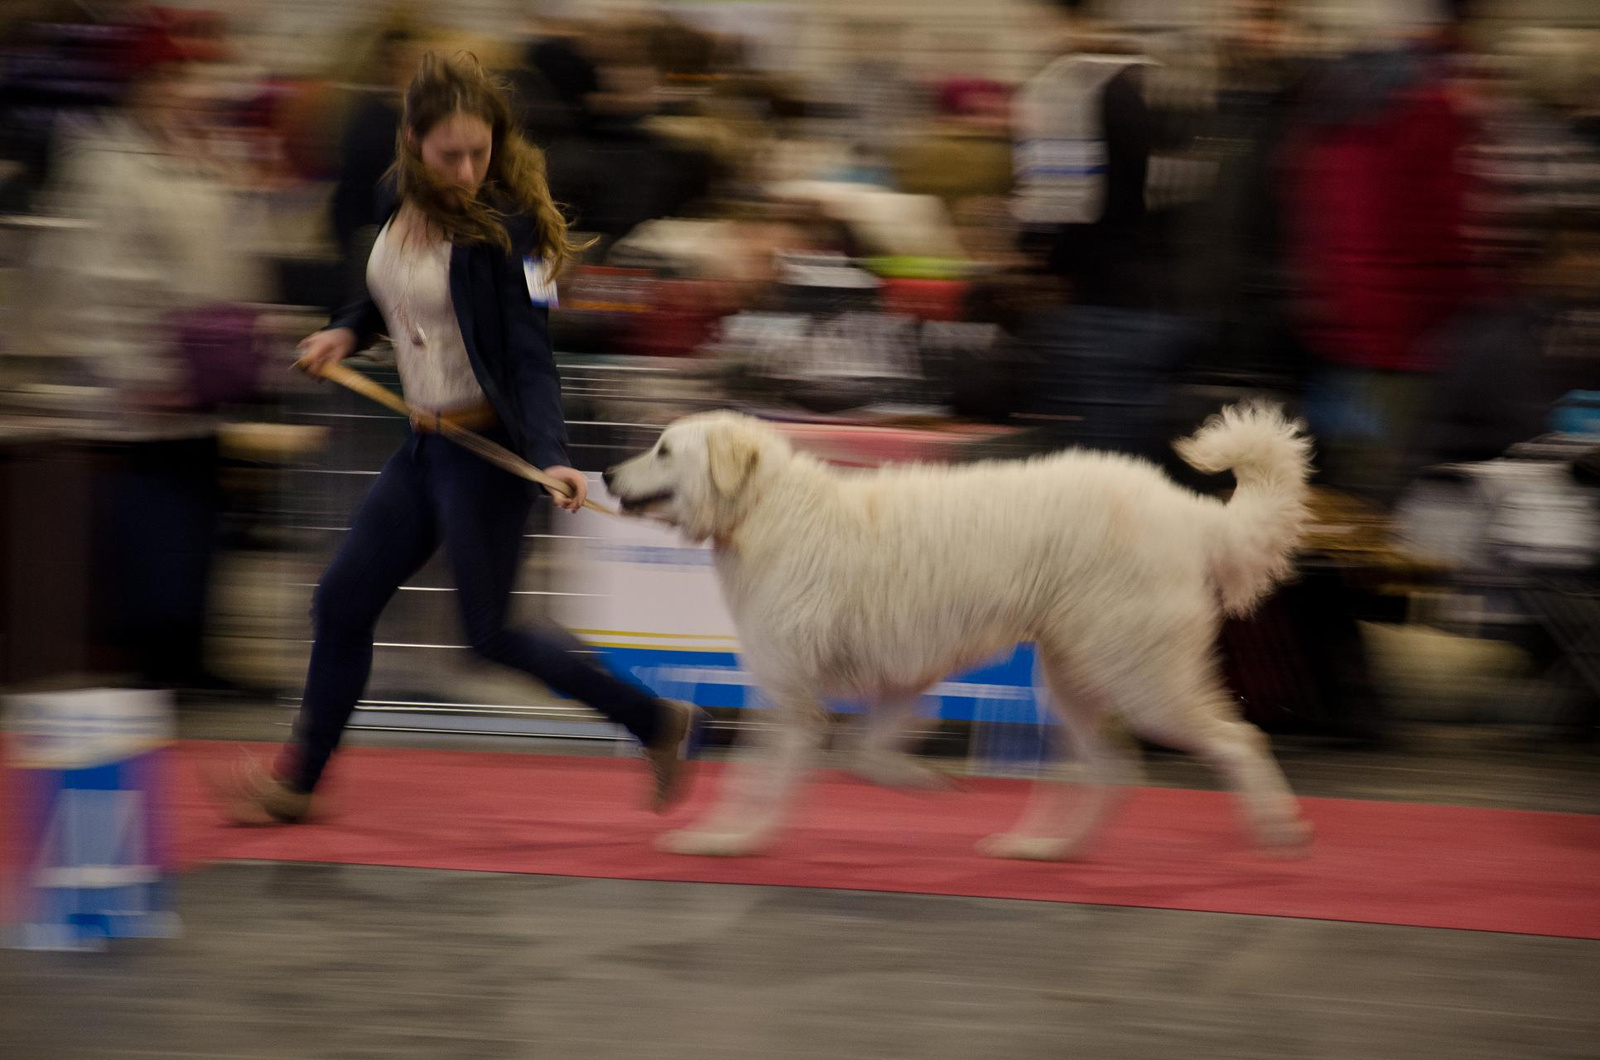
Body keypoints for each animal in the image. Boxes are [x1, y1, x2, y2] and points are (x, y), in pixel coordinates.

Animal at [601, 403, 1312, 858]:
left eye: (664, 450)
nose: (604, 475)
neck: (766, 509)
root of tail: (1191, 514)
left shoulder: (793, 694)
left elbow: (757, 778)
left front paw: (726, 840)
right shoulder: (897, 680)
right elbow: (864, 752)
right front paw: (921, 782)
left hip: (1142, 681)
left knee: (1238, 740)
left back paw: (1279, 831)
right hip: (1075, 679)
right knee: (1115, 769)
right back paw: (1044, 847)